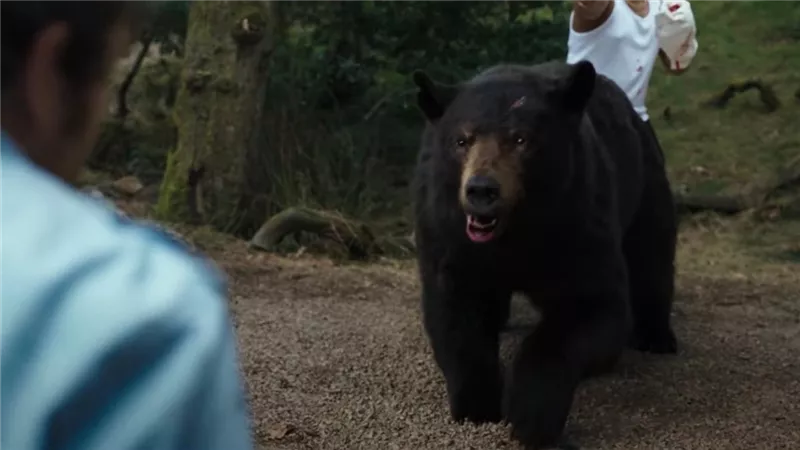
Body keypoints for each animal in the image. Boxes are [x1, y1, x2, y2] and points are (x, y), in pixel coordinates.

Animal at [410, 60, 678, 449]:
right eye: (461, 140)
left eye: (521, 139)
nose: (481, 190)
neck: (517, 231)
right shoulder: (449, 230)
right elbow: (456, 311)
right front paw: (477, 406)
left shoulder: (578, 218)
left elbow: (594, 308)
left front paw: (531, 416)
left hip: (645, 177)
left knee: (651, 254)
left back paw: (657, 337)